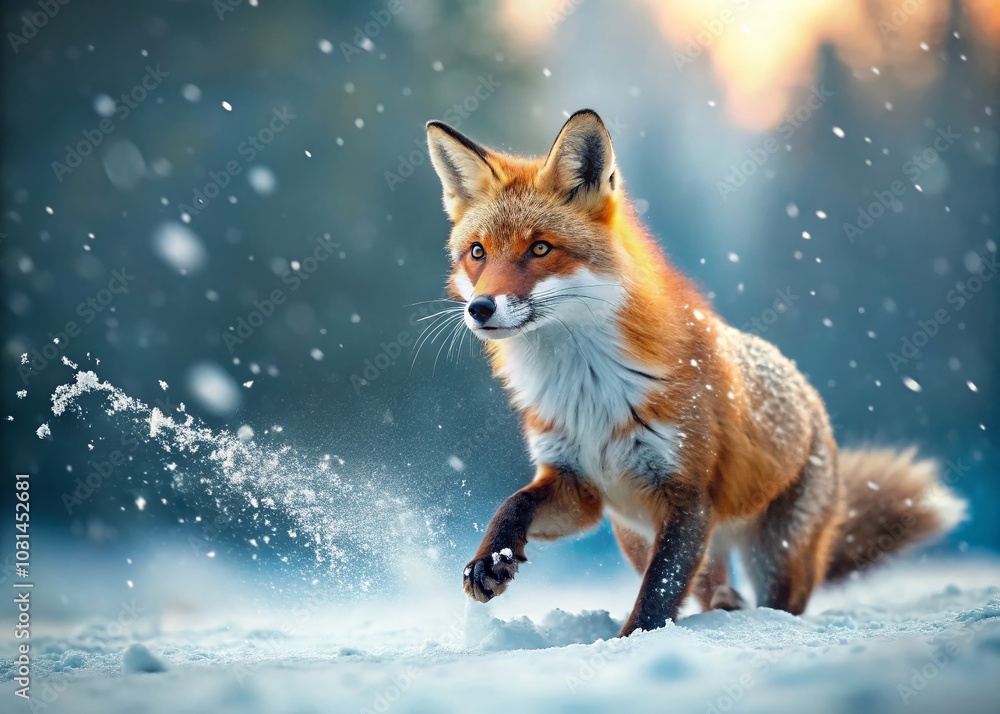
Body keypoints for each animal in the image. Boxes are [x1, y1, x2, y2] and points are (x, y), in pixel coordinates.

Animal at [424, 109, 968, 637]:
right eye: (477, 252)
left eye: (540, 248)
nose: (479, 308)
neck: (588, 387)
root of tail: (808, 393)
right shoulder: (578, 484)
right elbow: (513, 504)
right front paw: (489, 560)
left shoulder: (687, 495)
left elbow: (657, 595)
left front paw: (631, 643)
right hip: (641, 535)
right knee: (714, 588)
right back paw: (725, 608)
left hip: (774, 553)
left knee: (774, 601)